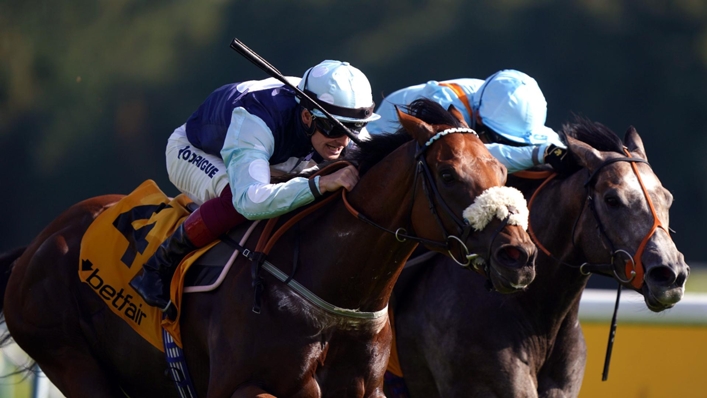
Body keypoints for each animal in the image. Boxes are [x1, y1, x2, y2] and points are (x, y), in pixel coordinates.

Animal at [0, 100, 536, 398]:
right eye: (447, 174)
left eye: (502, 170)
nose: (519, 257)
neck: (333, 289)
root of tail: (39, 244)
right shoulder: (241, 387)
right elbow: (246, 196)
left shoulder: (368, 388)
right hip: (71, 360)